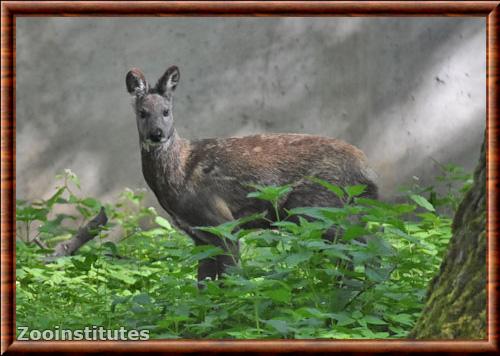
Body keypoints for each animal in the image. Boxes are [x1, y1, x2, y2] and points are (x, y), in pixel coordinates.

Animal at [127, 65, 376, 286]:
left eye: (166, 111)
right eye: (142, 112)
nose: (157, 134)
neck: (180, 172)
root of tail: (365, 168)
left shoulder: (223, 223)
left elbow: (230, 280)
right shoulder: (199, 236)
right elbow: (203, 286)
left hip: (322, 208)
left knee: (356, 251)